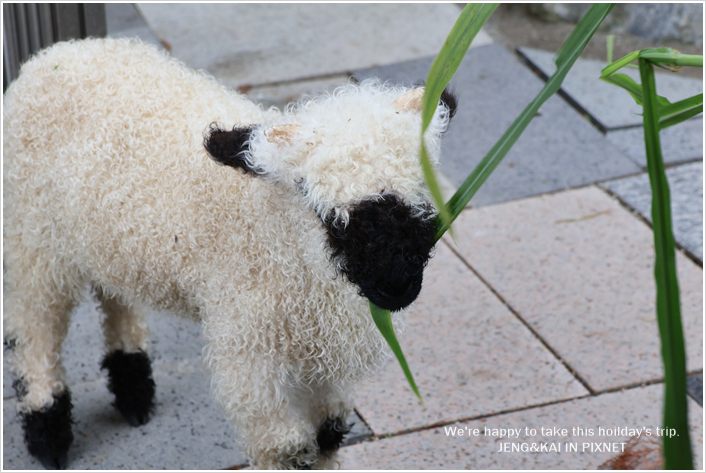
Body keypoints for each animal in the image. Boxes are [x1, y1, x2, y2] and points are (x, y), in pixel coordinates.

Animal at [2, 37, 454, 468]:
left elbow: (329, 434)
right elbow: (288, 448)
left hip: (104, 237)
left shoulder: (324, 358)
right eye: (315, 204)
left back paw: (133, 390)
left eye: (423, 192)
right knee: (37, 326)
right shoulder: (248, 348)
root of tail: (56, 53)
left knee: (114, 295)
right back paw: (47, 432)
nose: (396, 283)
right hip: (33, 234)